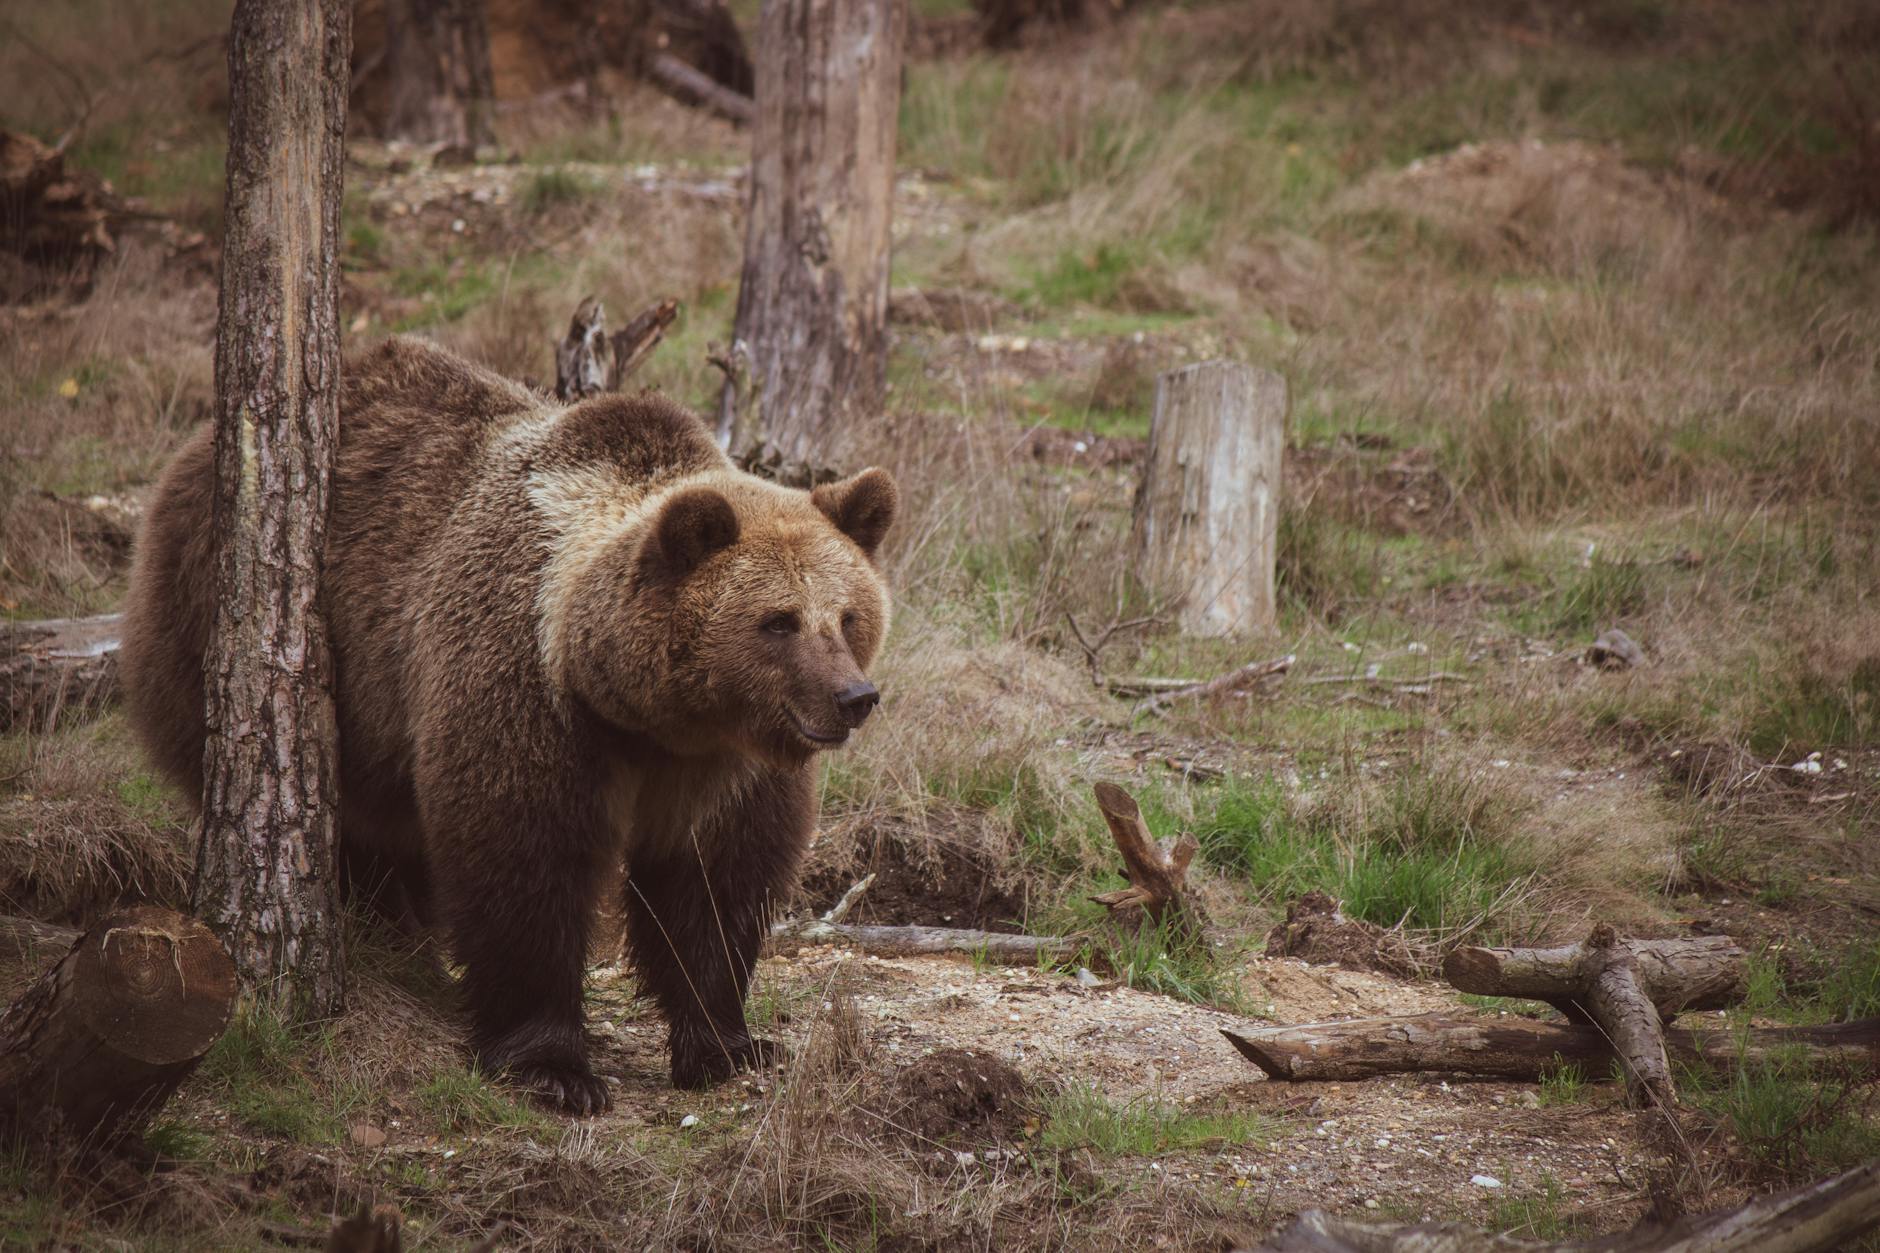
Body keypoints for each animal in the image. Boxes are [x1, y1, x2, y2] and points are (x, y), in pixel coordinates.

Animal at [118, 335, 896, 1113]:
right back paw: (387, 929)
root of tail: (192, 453)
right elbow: (522, 859)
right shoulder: (525, 689)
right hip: (233, 630)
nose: (853, 696)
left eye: (848, 615)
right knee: (354, 823)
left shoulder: (721, 765)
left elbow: (713, 882)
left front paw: (729, 1043)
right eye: (778, 621)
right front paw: (553, 1066)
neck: (643, 714)